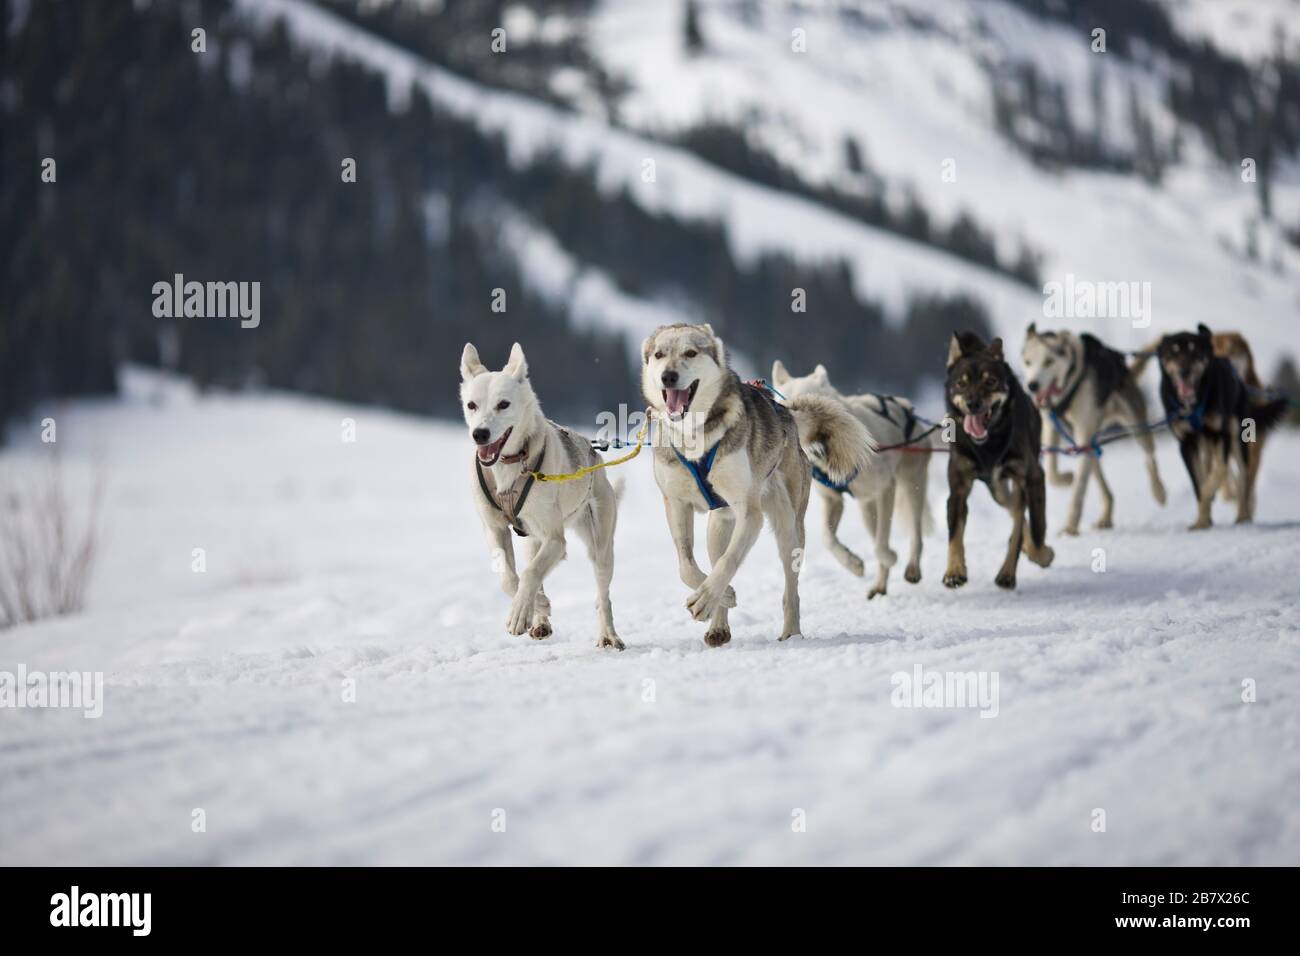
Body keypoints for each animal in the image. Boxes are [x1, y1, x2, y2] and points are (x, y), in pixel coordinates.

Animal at [462, 343, 624, 650]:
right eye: (471, 405)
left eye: (503, 404)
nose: (480, 434)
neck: (510, 463)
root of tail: (594, 453)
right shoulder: (495, 530)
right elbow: (509, 578)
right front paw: (536, 606)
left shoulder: (555, 540)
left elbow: (530, 574)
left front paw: (520, 613)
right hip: (532, 539)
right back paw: (540, 619)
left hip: (601, 548)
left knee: (603, 596)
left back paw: (609, 634)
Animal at [642, 325, 873, 647]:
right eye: (659, 354)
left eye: (690, 352)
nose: (668, 376)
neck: (694, 438)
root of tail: (787, 413)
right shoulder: (676, 504)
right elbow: (687, 566)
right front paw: (720, 596)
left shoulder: (749, 513)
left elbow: (729, 562)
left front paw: (706, 598)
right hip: (719, 525)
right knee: (716, 558)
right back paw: (718, 624)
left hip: (788, 529)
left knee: (790, 588)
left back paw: (791, 631)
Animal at [764, 361, 930, 598]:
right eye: (781, 403)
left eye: (803, 404)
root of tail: (907, 408)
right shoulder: (833, 500)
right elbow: (828, 539)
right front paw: (853, 563)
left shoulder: (885, 488)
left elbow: (881, 546)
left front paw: (890, 556)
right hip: (867, 510)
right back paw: (879, 585)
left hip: (911, 485)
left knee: (915, 534)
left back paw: (912, 568)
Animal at [1024, 319, 1170, 530]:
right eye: (1027, 362)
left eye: (1048, 361)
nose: (1032, 385)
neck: (1068, 383)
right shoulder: (1051, 426)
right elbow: (1051, 472)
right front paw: (1067, 478)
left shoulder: (1082, 432)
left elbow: (1078, 491)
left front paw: (1070, 527)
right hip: (1087, 443)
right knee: (1102, 484)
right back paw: (1105, 516)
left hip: (1136, 428)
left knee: (1149, 458)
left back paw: (1159, 492)